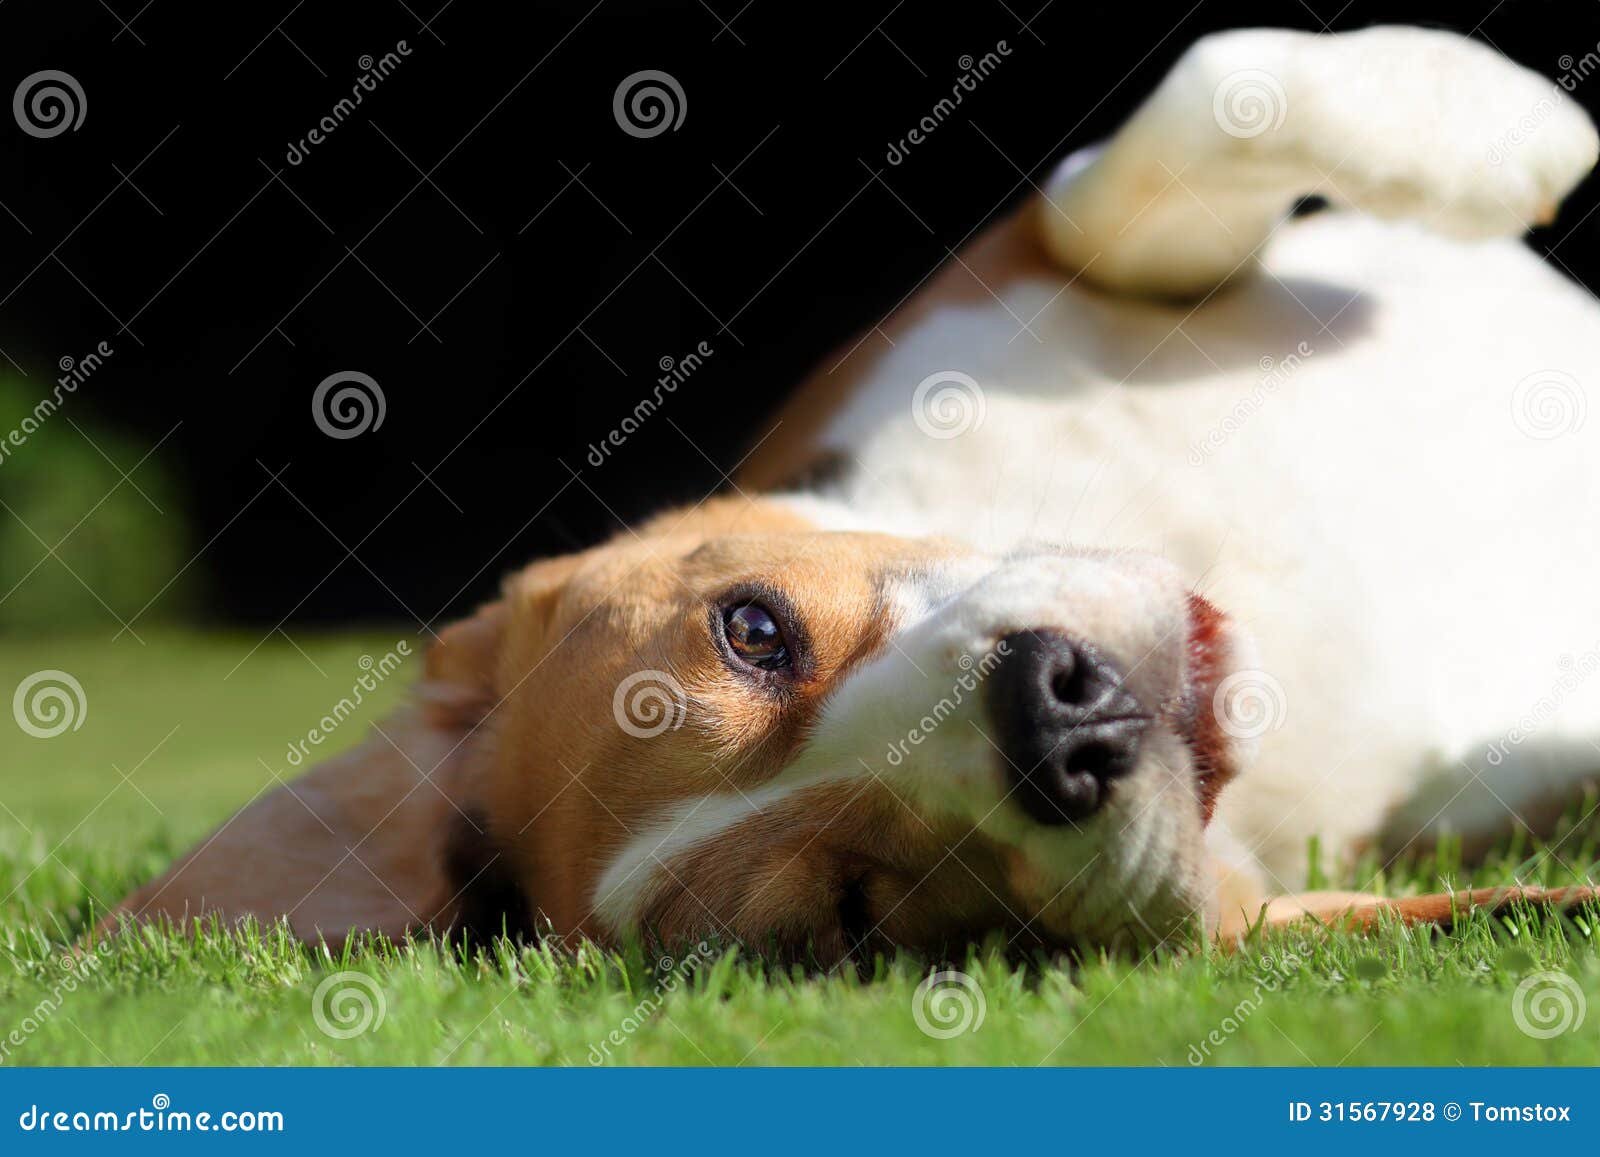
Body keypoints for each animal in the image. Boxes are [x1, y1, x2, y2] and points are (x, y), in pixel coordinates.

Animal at [112, 27, 1600, 960]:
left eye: (754, 629)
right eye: (852, 920)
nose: (1057, 718)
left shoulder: (1003, 271)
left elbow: (1176, 121)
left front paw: (1497, 126)